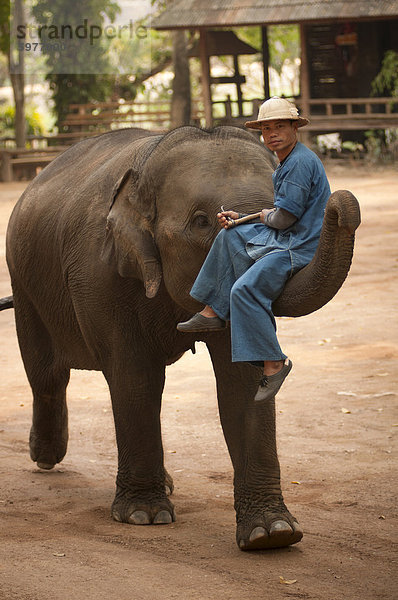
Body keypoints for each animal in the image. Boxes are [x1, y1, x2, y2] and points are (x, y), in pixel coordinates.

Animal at [4, 125, 362, 548]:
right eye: (203, 222)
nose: (342, 205)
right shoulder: (98, 275)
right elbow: (135, 378)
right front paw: (144, 516)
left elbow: (241, 382)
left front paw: (272, 534)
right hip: (23, 280)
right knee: (46, 373)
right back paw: (45, 456)